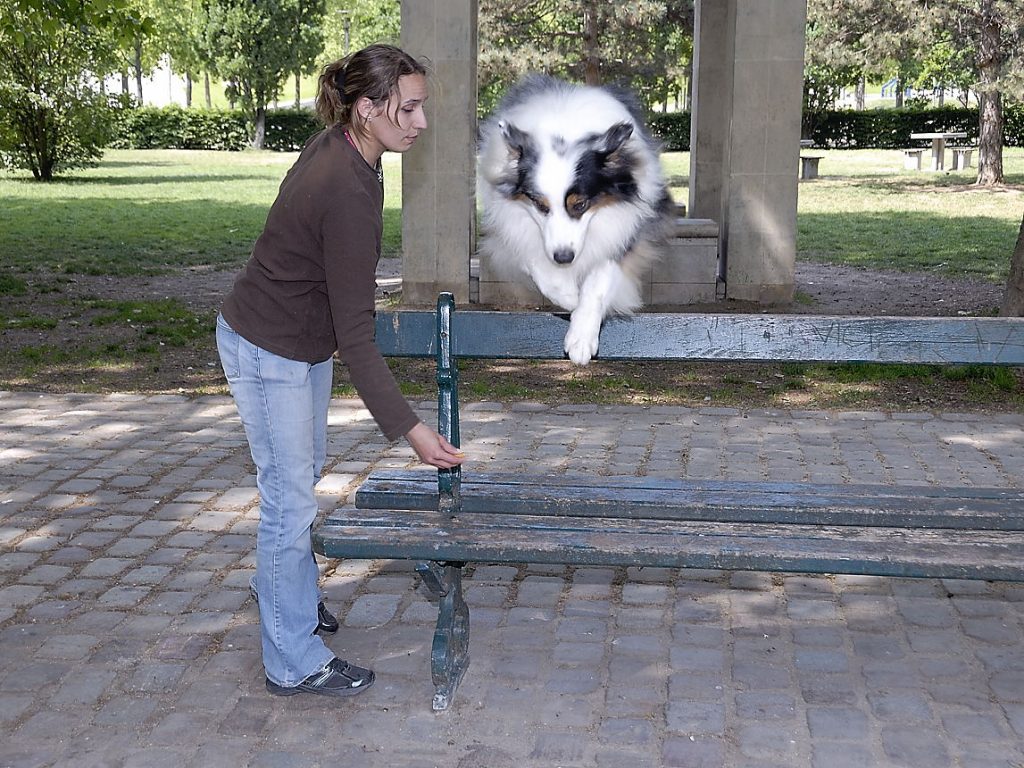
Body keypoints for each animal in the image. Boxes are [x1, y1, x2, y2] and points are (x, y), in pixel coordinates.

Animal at [477, 76, 675, 364]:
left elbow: (599, 281)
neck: (563, 130)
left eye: (580, 204)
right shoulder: (514, 231)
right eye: (539, 204)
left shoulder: (624, 231)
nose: (563, 258)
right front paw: (571, 297)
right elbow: (539, 267)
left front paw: (581, 338)